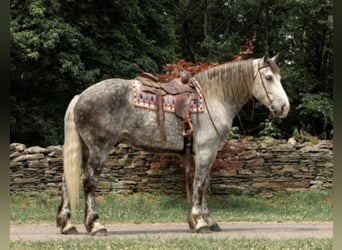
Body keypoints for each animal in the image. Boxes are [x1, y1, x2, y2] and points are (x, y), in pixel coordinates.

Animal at [56, 54, 288, 234]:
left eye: (279, 77)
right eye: (268, 77)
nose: (285, 107)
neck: (213, 98)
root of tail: (80, 97)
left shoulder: (206, 153)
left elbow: (205, 185)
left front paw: (208, 221)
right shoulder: (205, 151)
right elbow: (199, 185)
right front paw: (200, 222)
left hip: (84, 150)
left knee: (67, 179)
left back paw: (67, 225)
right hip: (99, 149)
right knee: (89, 182)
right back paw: (95, 225)